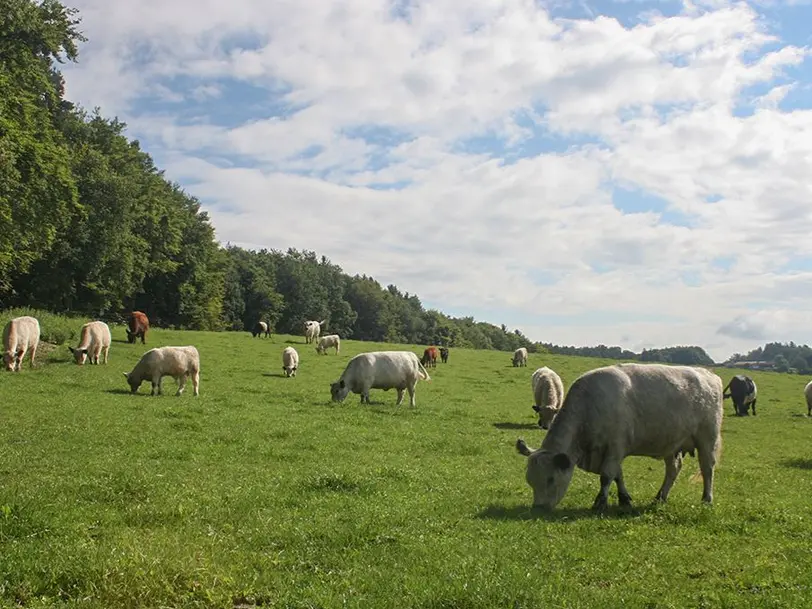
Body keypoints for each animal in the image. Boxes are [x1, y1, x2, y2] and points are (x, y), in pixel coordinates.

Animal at [516, 364, 720, 510]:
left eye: (550, 479)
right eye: (529, 480)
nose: (539, 508)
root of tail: (708, 375)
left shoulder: (615, 447)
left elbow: (607, 476)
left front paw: (600, 502)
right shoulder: (611, 451)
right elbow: (618, 476)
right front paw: (624, 499)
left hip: (707, 439)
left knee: (707, 469)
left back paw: (707, 499)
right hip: (672, 444)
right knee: (673, 469)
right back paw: (660, 497)